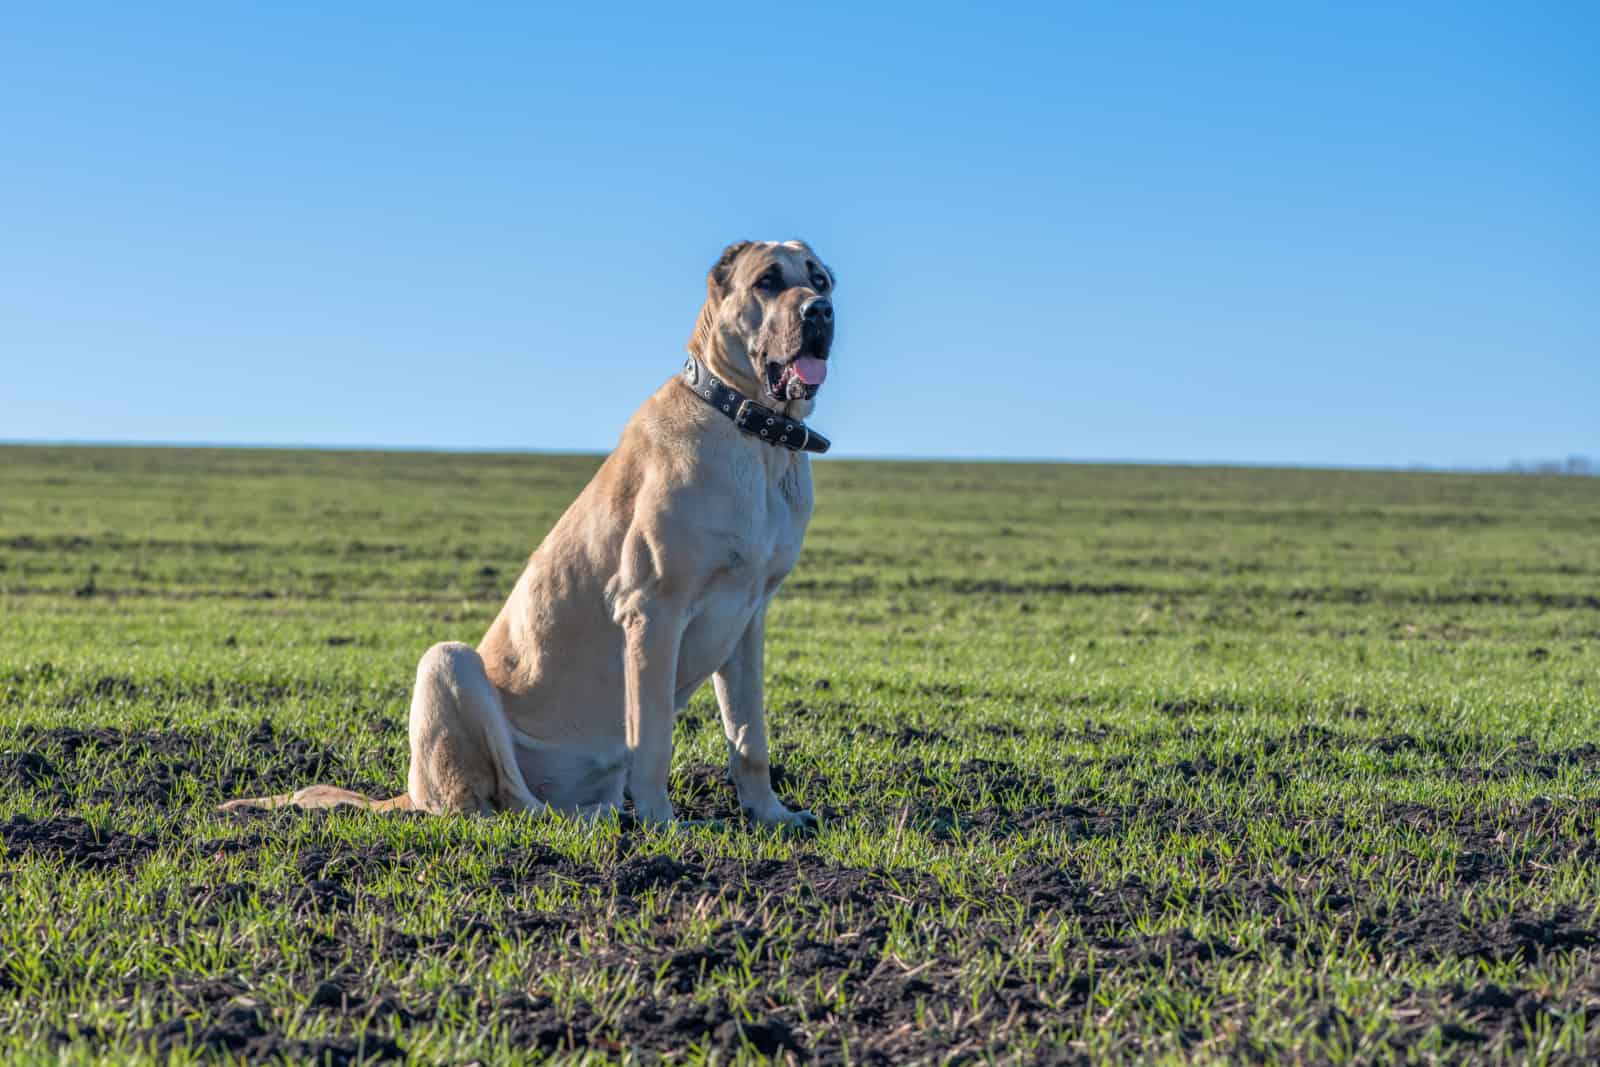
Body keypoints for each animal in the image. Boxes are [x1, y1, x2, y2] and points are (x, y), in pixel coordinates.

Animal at [224, 238, 838, 831]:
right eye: (767, 281)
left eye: (821, 279)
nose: (819, 311)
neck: (756, 438)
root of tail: (409, 794)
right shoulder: (652, 610)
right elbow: (654, 740)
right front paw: (664, 825)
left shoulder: (747, 619)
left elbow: (748, 736)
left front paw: (770, 815)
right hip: (448, 663)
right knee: (505, 805)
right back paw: (595, 819)